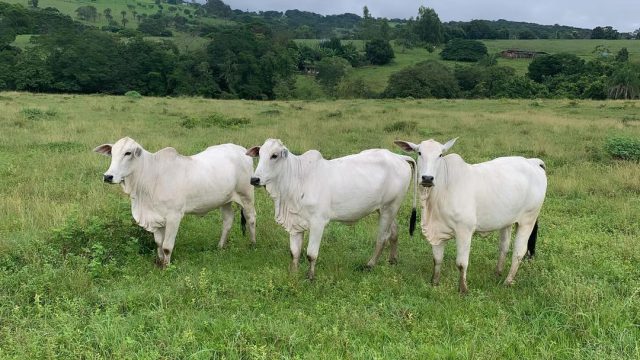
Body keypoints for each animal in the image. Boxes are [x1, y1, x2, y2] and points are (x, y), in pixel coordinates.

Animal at [94, 138, 256, 268]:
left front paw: (166, 267)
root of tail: (241, 149)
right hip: (225, 200)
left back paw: (253, 244)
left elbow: (166, 246)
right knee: (228, 221)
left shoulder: (174, 216)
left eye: (128, 153)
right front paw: (159, 262)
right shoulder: (156, 217)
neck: (150, 177)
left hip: (247, 195)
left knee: (251, 218)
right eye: (112, 153)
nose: (108, 176)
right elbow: (159, 243)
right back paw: (220, 246)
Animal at [244, 139, 416, 280]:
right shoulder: (295, 224)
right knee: (394, 231)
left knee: (382, 237)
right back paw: (392, 260)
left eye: (274, 156)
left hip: (389, 208)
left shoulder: (318, 223)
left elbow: (311, 254)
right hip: (385, 209)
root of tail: (400, 157)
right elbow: (294, 252)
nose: (254, 179)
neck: (297, 179)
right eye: (259, 154)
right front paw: (293, 274)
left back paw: (370, 264)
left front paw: (310, 277)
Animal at [396, 138, 544, 292]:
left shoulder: (464, 231)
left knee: (519, 252)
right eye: (419, 152)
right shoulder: (438, 229)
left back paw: (507, 281)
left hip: (528, 220)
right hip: (507, 221)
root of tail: (533, 162)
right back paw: (497, 272)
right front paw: (434, 282)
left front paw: (463, 289)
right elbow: (437, 259)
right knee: (504, 247)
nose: (427, 178)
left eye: (440, 155)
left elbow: (461, 263)